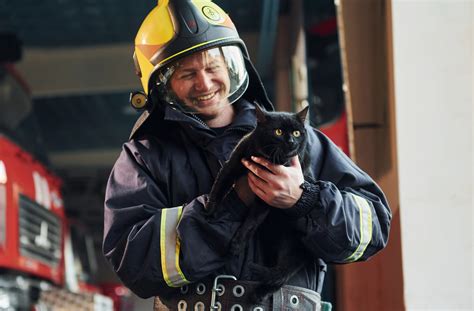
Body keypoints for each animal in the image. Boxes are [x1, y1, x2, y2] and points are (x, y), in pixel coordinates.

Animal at [206, 105, 312, 302]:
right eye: (278, 132)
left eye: (296, 132)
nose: (291, 142)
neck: (268, 158)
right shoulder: (233, 163)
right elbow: (219, 185)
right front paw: (210, 210)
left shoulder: (269, 196)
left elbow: (251, 222)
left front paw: (237, 245)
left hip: (289, 245)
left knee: (281, 275)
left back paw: (257, 295)